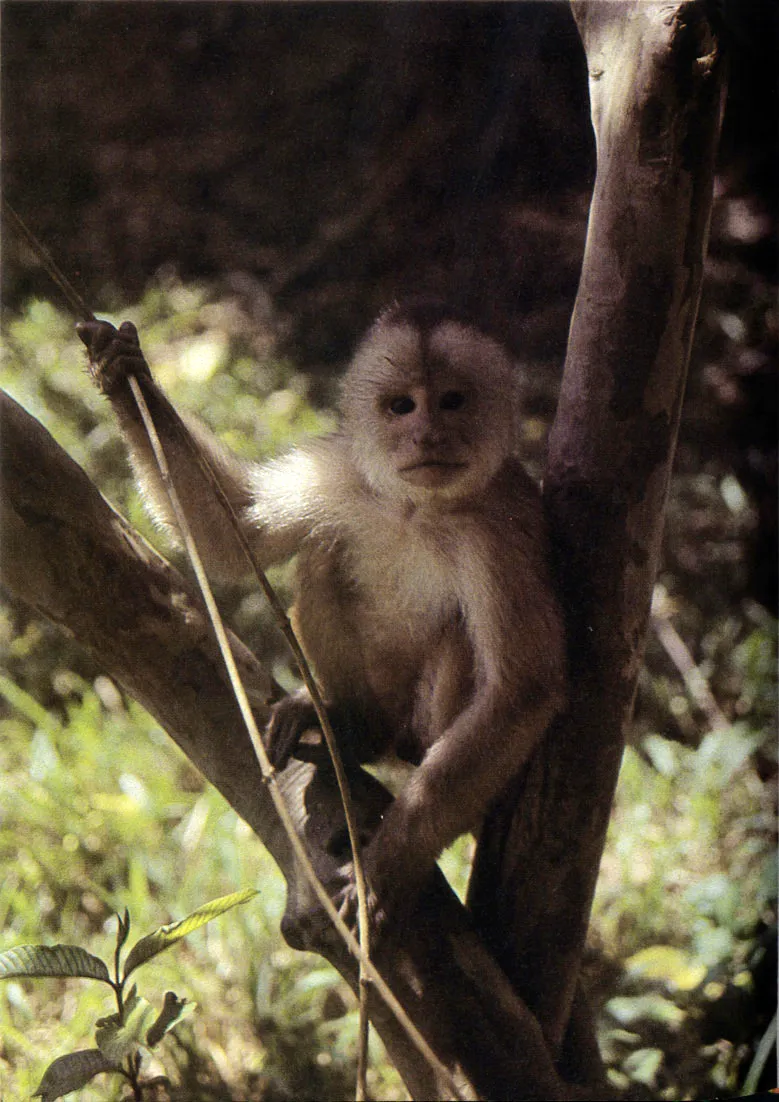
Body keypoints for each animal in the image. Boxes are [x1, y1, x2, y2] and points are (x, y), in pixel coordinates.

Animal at [77, 304, 568, 930]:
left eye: (453, 401)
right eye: (402, 406)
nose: (428, 435)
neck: (417, 507)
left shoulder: (505, 529)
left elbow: (522, 689)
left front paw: (388, 865)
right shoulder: (339, 471)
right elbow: (237, 532)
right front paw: (121, 371)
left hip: (422, 728)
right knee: (323, 553)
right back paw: (349, 726)